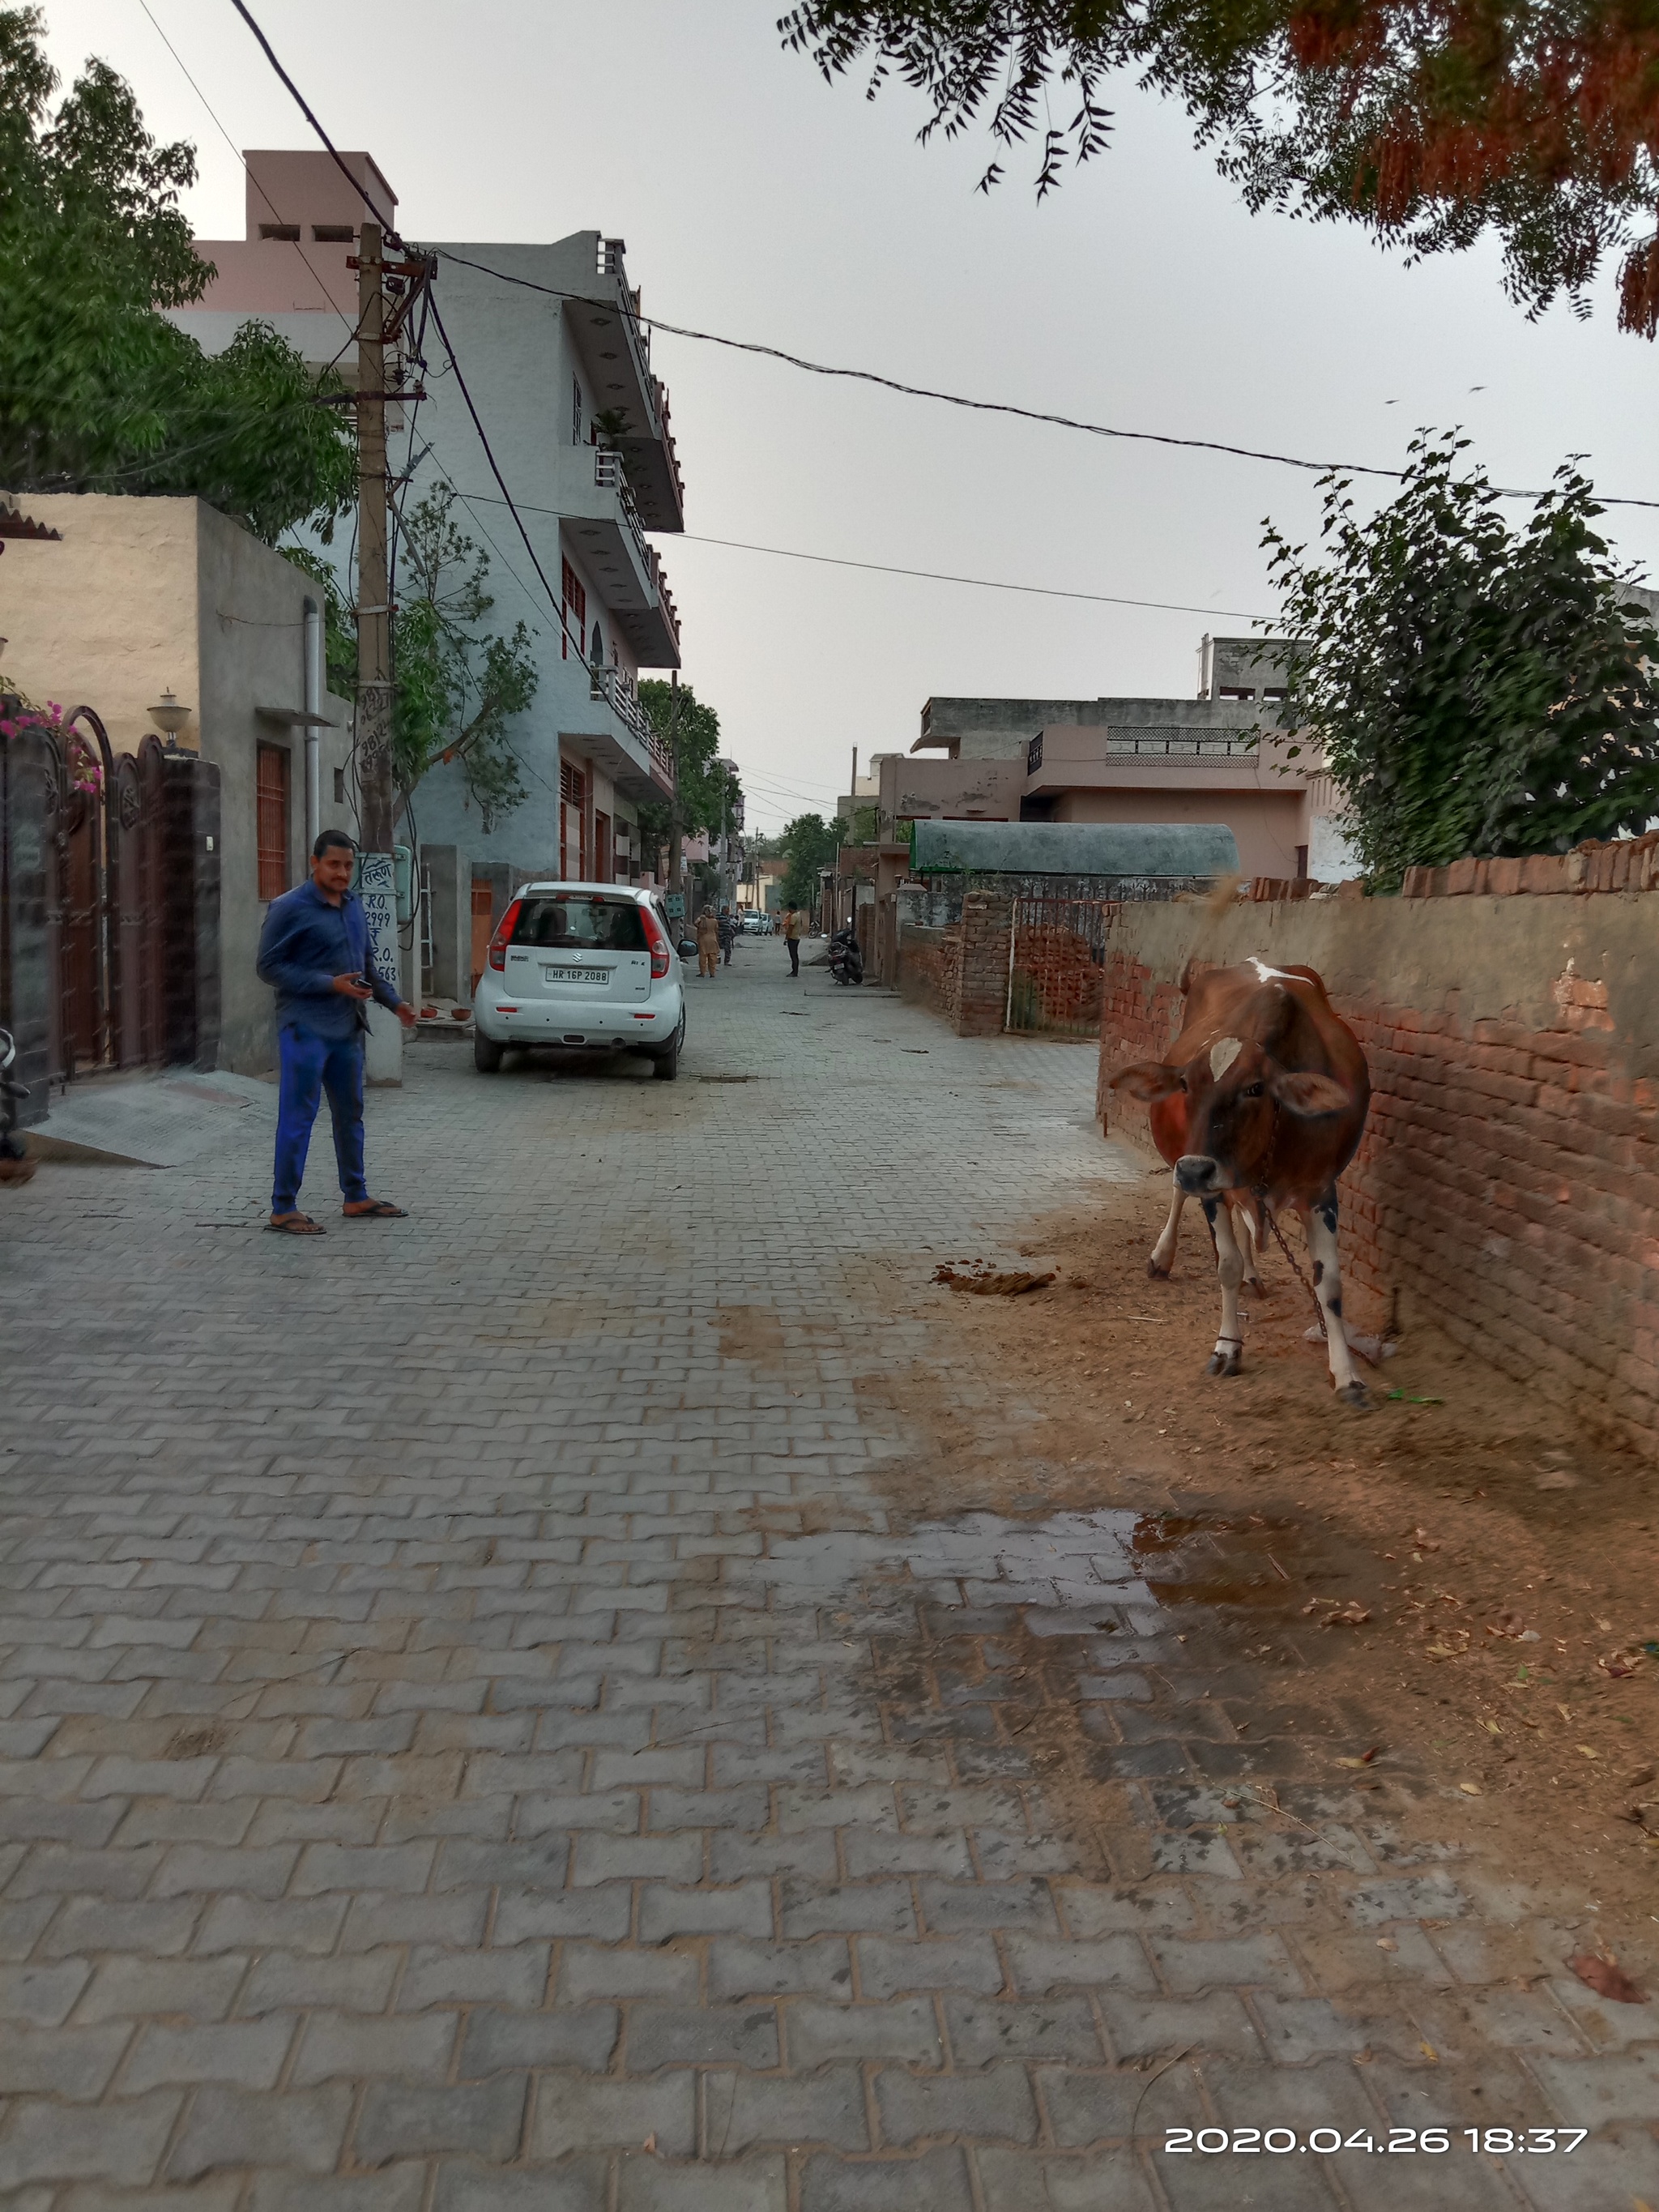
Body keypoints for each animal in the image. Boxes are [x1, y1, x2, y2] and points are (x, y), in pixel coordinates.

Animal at [1119, 959, 1380, 1407]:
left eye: (1255, 1088)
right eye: (1185, 1084)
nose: (1196, 1169)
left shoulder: (1321, 1191)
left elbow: (1328, 1284)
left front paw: (1347, 1374)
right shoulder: (1211, 1186)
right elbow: (1226, 1264)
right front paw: (1227, 1348)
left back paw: (1253, 1276)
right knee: (1180, 1195)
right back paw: (1163, 1256)